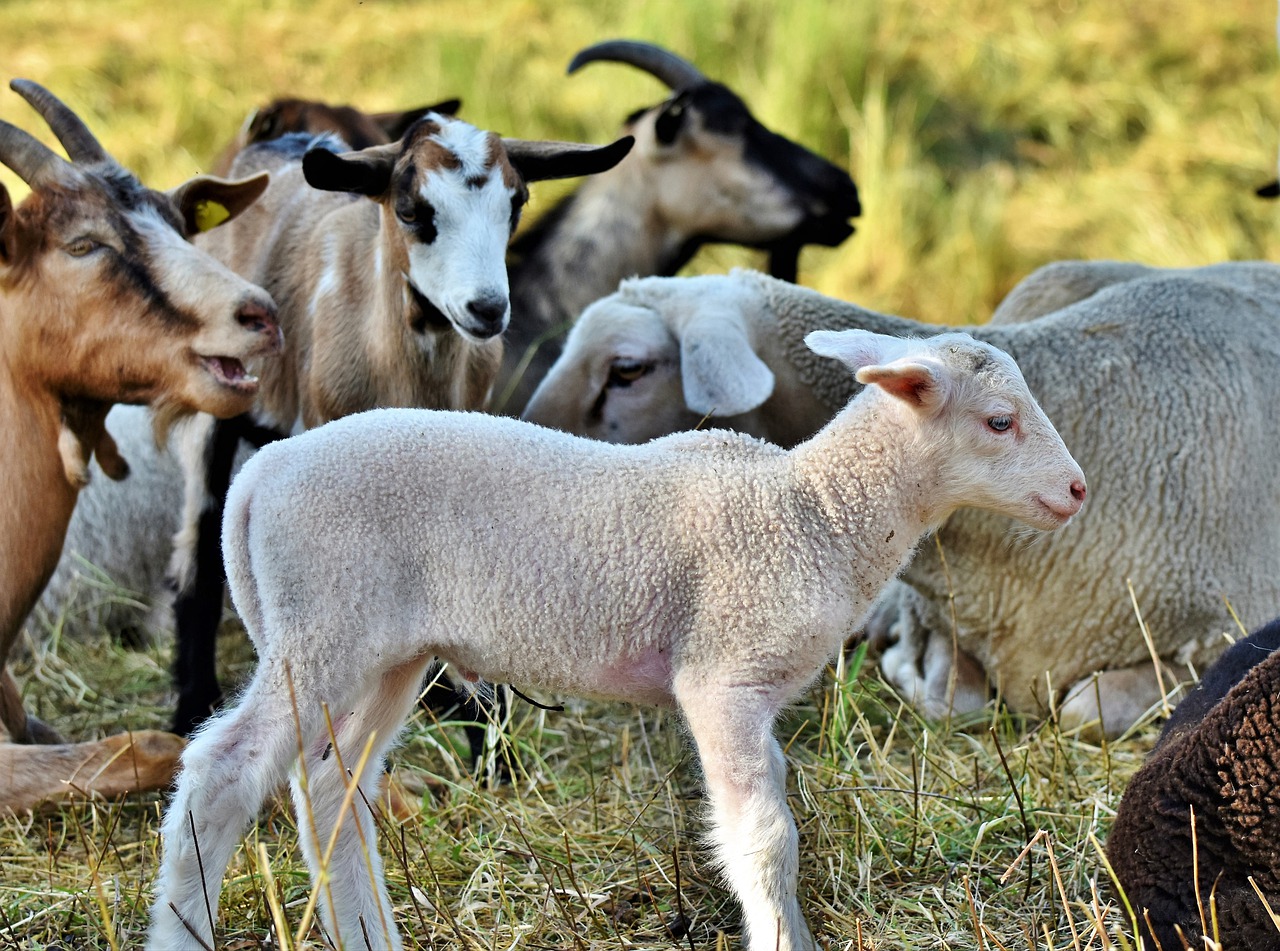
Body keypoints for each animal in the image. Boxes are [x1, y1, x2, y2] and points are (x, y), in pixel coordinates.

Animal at [149, 330, 1085, 951]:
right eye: (1000, 421)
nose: (1077, 490)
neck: (815, 510)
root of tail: (259, 478)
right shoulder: (721, 676)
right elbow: (763, 836)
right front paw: (782, 937)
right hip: (323, 629)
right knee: (223, 769)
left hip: (384, 654)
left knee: (330, 790)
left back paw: (371, 936)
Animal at [165, 113, 634, 737]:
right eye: (412, 210)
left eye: (517, 202)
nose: (487, 309)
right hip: (213, 405)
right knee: (197, 542)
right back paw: (191, 704)